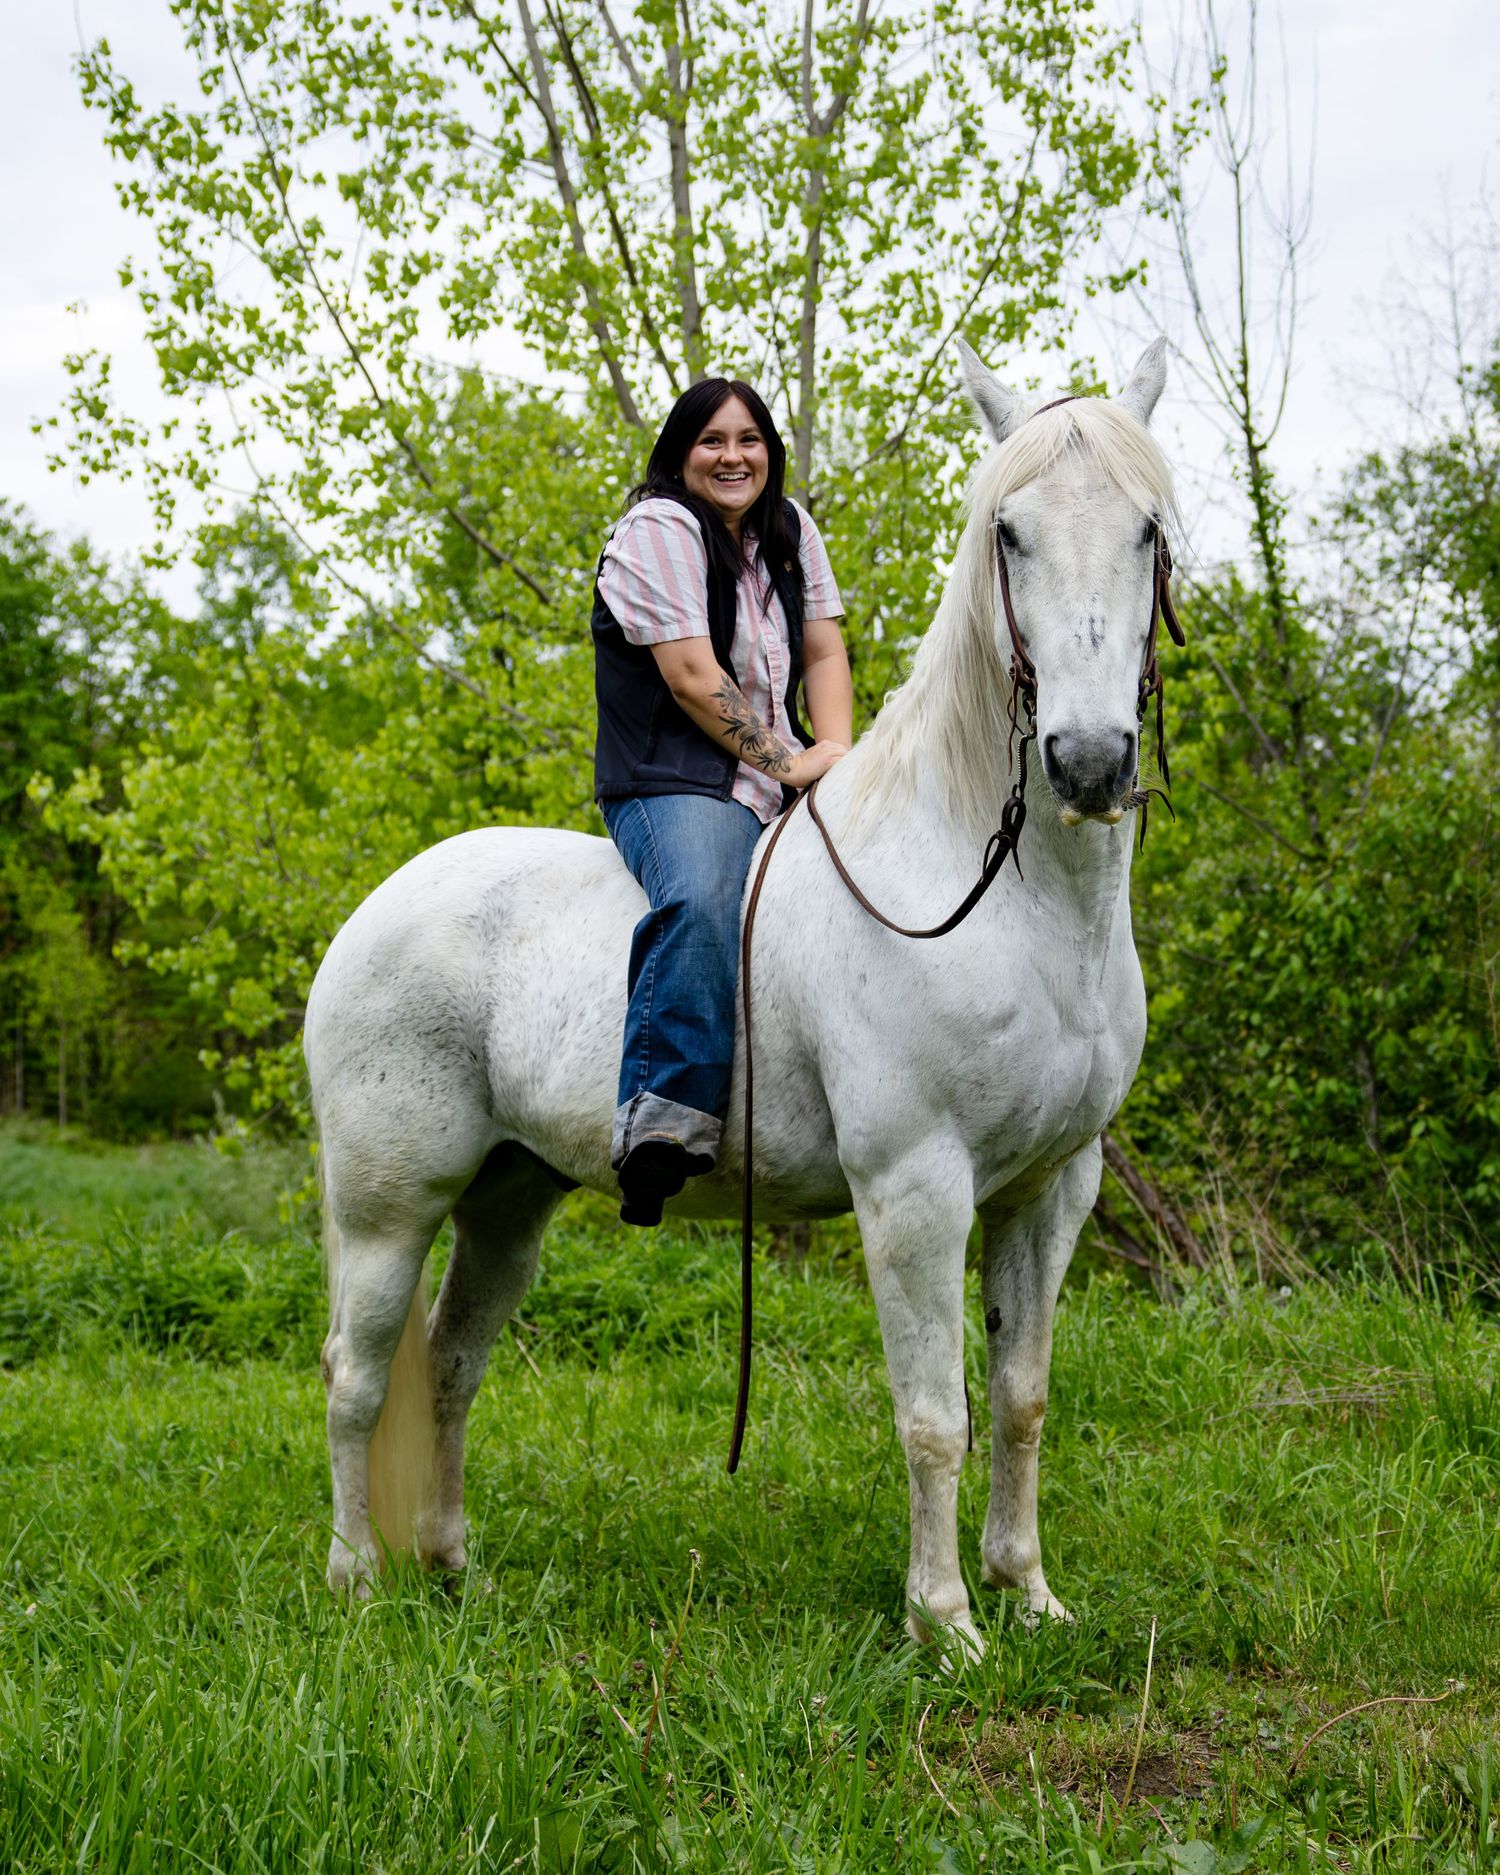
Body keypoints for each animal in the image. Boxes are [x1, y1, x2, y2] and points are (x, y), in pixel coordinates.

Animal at [306, 338, 1180, 1665]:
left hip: (510, 1196)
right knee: (357, 1378)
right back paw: (358, 1580)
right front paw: (945, 1624)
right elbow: (936, 1415)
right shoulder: (916, 1190)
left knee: (452, 1362)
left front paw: (1028, 1594)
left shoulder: (1050, 1188)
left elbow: (1022, 1400)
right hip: (385, 1204)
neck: (995, 898)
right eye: (1010, 534)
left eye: (1144, 529)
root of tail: (376, 911)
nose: (1087, 763)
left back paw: (457, 1572)